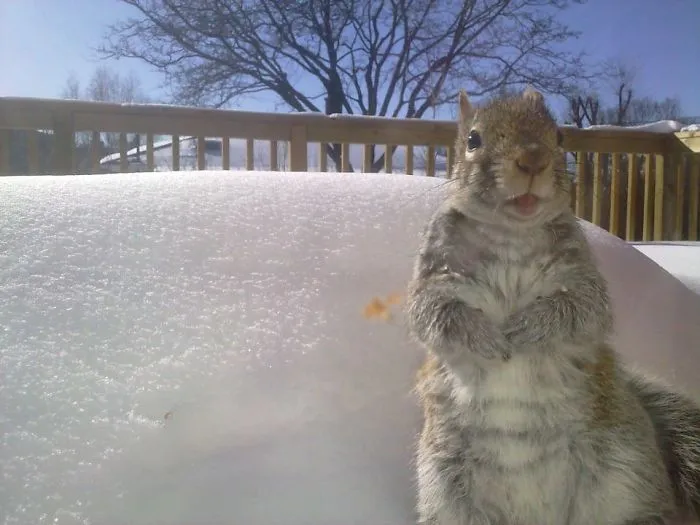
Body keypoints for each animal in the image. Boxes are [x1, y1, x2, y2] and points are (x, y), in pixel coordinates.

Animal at [405, 87, 700, 525]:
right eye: (473, 139)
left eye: (559, 136)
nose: (533, 160)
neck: (511, 233)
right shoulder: (434, 273)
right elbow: (431, 315)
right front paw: (486, 338)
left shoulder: (581, 274)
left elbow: (584, 309)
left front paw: (529, 328)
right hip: (446, 489)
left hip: (626, 471)